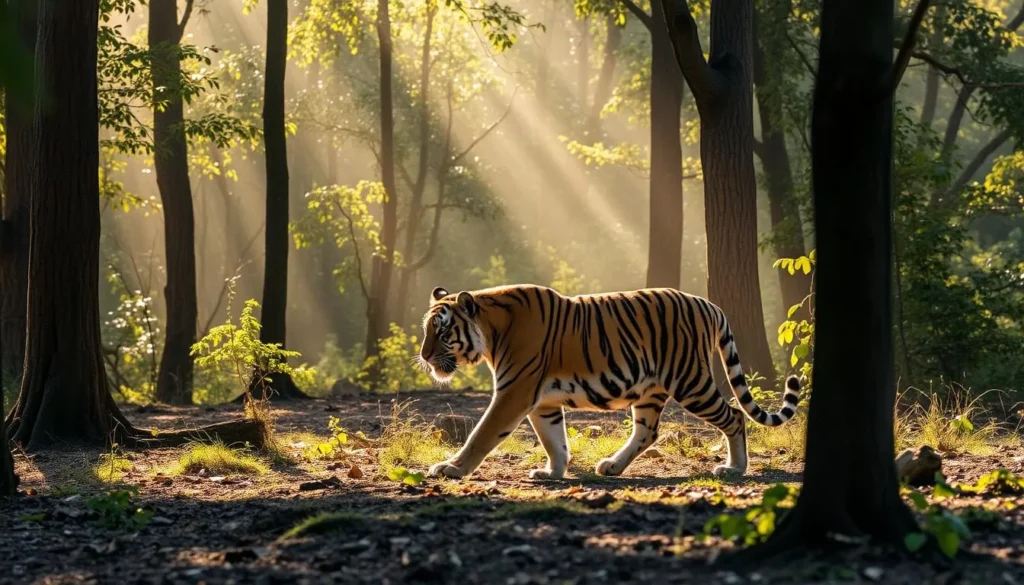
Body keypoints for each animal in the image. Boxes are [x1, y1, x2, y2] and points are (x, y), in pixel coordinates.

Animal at [417, 284, 801, 480]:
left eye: (443, 331)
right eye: (426, 329)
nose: (424, 356)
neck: (492, 331)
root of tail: (710, 305)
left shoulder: (515, 392)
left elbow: (482, 434)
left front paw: (451, 468)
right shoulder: (541, 400)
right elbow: (554, 440)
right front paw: (553, 472)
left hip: (691, 381)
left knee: (734, 416)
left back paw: (735, 468)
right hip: (651, 391)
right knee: (648, 432)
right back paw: (613, 466)